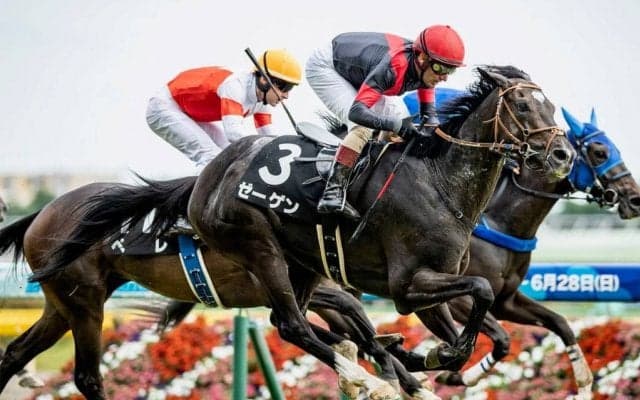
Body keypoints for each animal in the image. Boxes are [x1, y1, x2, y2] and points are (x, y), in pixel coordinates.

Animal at [2, 65, 575, 399]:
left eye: (552, 107)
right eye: (525, 105)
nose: (561, 155)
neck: (438, 182)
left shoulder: (417, 288)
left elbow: (469, 326)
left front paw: (428, 361)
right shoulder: (406, 285)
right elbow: (470, 299)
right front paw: (419, 363)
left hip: (67, 301)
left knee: (18, 353)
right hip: (237, 254)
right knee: (290, 326)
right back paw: (360, 375)